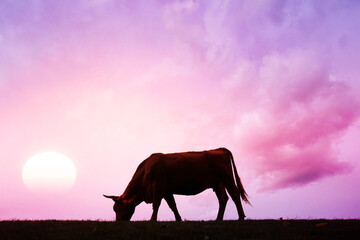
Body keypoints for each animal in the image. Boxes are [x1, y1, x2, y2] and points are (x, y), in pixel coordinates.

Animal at [104, 147, 250, 222]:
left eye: (117, 209)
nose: (118, 222)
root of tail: (218, 149)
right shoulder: (167, 191)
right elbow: (173, 205)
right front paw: (178, 219)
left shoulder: (158, 186)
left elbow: (156, 204)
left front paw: (152, 220)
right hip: (218, 184)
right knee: (223, 199)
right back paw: (218, 219)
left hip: (227, 179)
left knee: (235, 195)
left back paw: (241, 217)